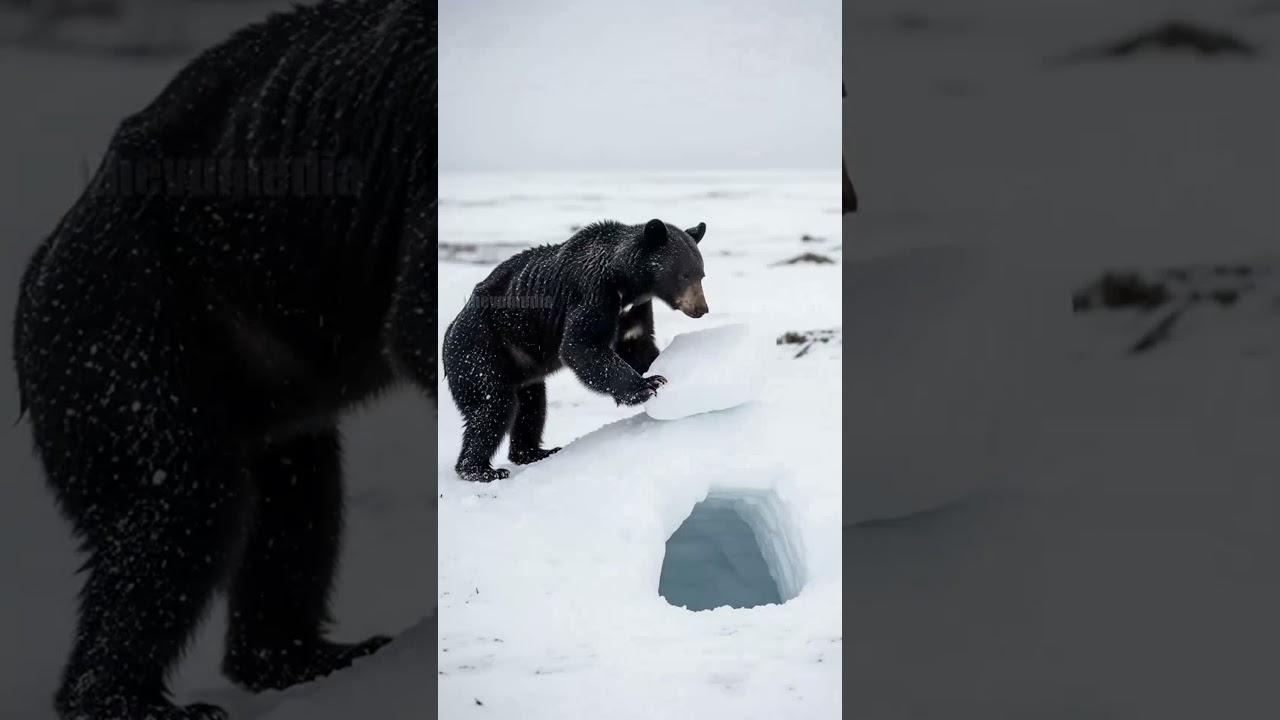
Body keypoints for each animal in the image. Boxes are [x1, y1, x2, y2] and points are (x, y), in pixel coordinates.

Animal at [10, 1, 435, 718]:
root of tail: (38, 265)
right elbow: (417, 320)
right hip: (134, 314)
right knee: (179, 502)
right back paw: (134, 699)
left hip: (259, 362)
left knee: (296, 498)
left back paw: (310, 652)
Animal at [442, 219, 709, 482]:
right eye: (684, 274)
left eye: (702, 274)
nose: (702, 308)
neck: (625, 281)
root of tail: (450, 331)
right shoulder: (594, 293)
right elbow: (580, 346)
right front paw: (646, 385)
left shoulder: (633, 310)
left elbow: (635, 343)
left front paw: (665, 371)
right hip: (480, 348)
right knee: (493, 404)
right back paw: (480, 469)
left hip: (521, 364)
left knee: (532, 405)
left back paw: (535, 451)